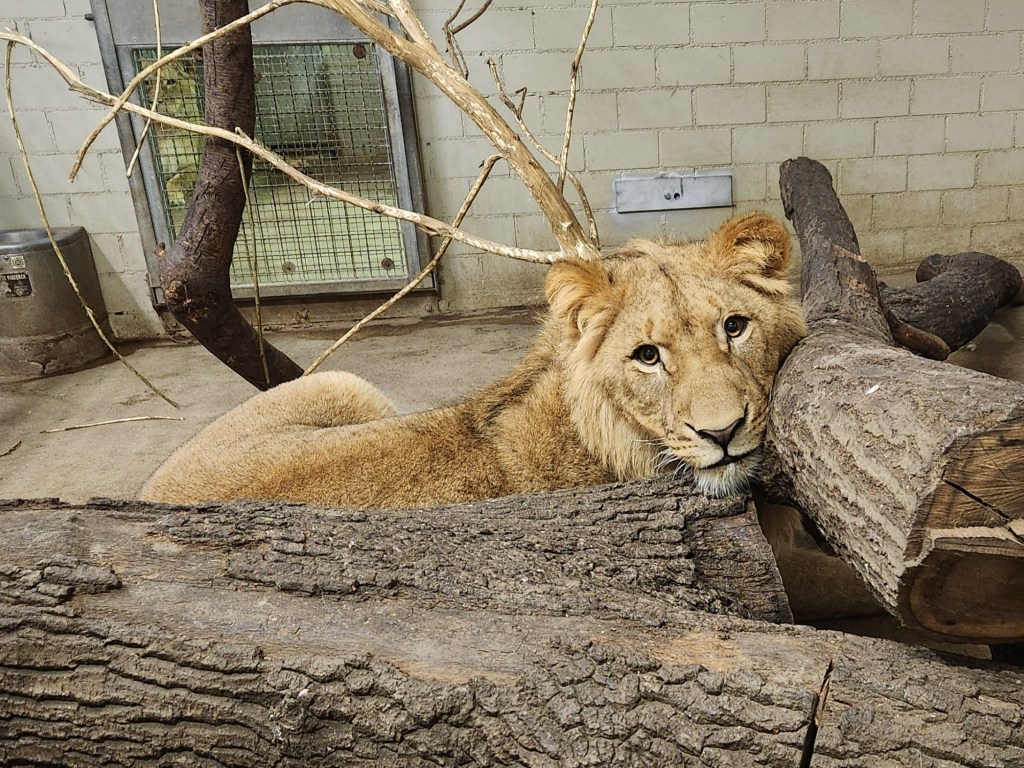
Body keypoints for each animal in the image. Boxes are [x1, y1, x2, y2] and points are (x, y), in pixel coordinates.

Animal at [141, 211, 876, 618]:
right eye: (647, 356)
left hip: (344, 385)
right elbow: (849, 583)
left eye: (734, 327)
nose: (721, 434)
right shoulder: (763, 576)